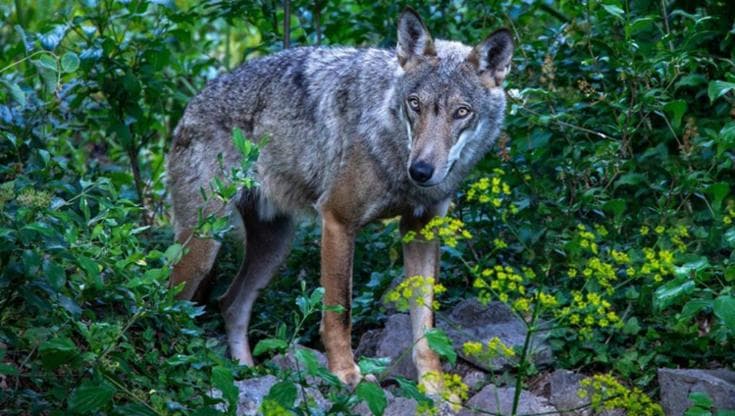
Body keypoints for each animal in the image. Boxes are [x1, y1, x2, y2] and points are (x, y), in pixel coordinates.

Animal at [167, 8, 513, 392]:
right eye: (415, 105)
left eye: (462, 112)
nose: (421, 171)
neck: (393, 149)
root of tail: (191, 104)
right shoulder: (337, 220)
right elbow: (339, 312)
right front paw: (346, 374)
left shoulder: (420, 231)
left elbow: (426, 328)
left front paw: (437, 391)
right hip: (202, 248)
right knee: (165, 305)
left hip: (275, 248)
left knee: (229, 303)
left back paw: (247, 372)